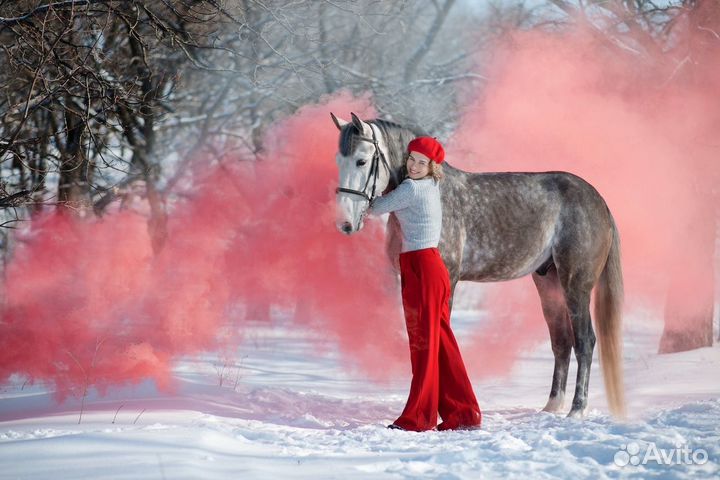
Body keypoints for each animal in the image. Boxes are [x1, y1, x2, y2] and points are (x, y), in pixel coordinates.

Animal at [332, 110, 624, 418]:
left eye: (362, 160)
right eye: (339, 160)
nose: (345, 223)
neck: (430, 194)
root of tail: (598, 200)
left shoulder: (447, 280)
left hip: (575, 285)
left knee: (585, 341)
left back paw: (577, 410)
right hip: (549, 283)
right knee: (561, 341)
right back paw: (551, 407)